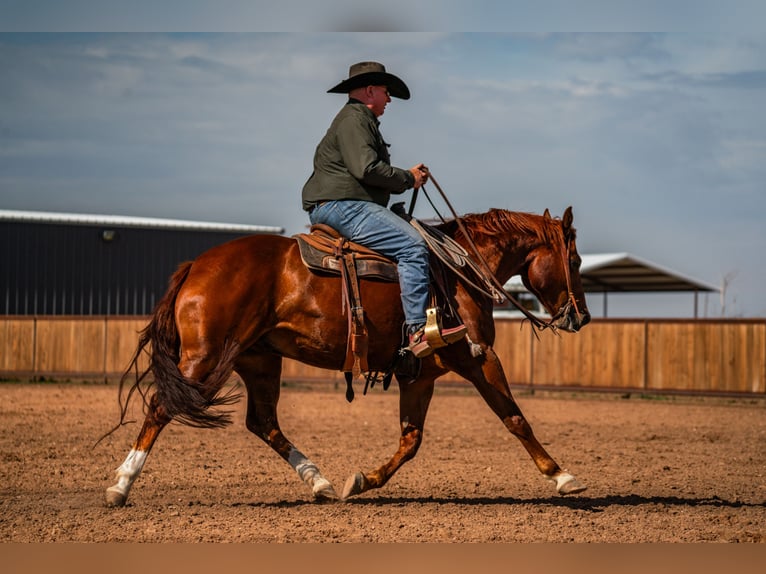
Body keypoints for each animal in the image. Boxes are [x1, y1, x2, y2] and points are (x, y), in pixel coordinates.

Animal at [104, 206, 591, 507]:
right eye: (576, 260)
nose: (582, 316)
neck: (458, 269)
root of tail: (196, 265)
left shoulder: (420, 375)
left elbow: (411, 440)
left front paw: (361, 481)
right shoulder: (478, 358)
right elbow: (515, 418)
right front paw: (562, 475)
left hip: (258, 361)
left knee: (263, 422)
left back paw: (318, 481)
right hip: (204, 359)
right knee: (161, 406)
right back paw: (121, 485)